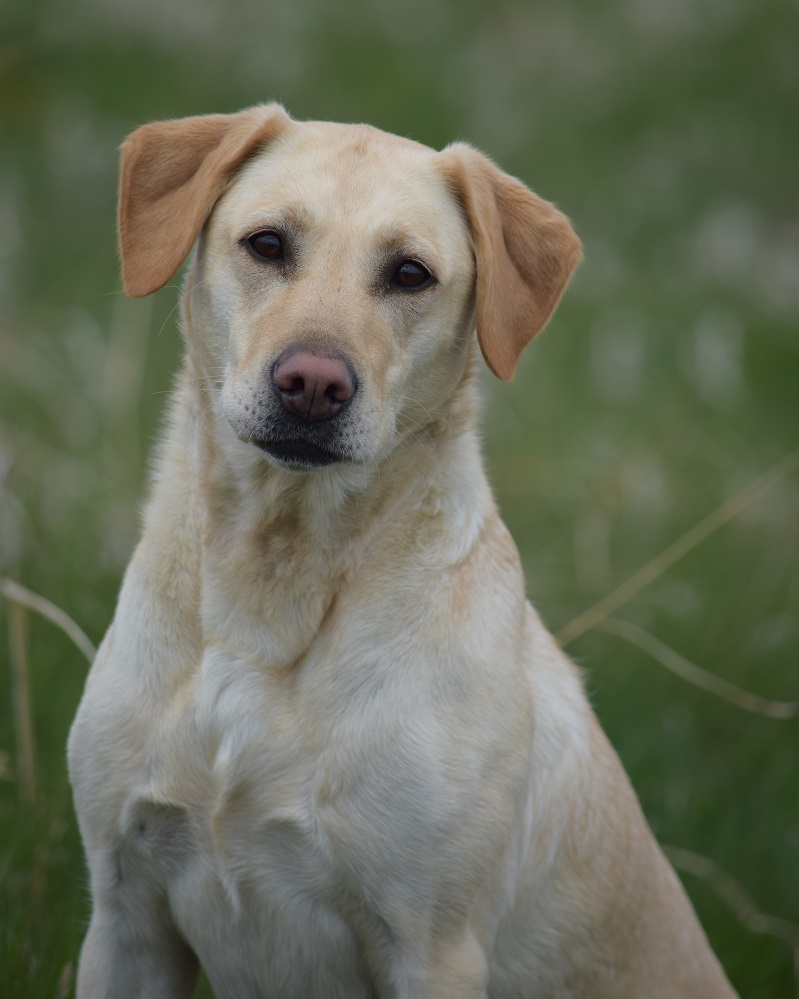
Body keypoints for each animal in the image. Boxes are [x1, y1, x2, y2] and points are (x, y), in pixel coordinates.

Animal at [69, 105, 736, 996]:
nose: (313, 384)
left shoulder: (431, 944)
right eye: (267, 244)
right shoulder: (124, 913)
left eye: (410, 274)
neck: (271, 586)